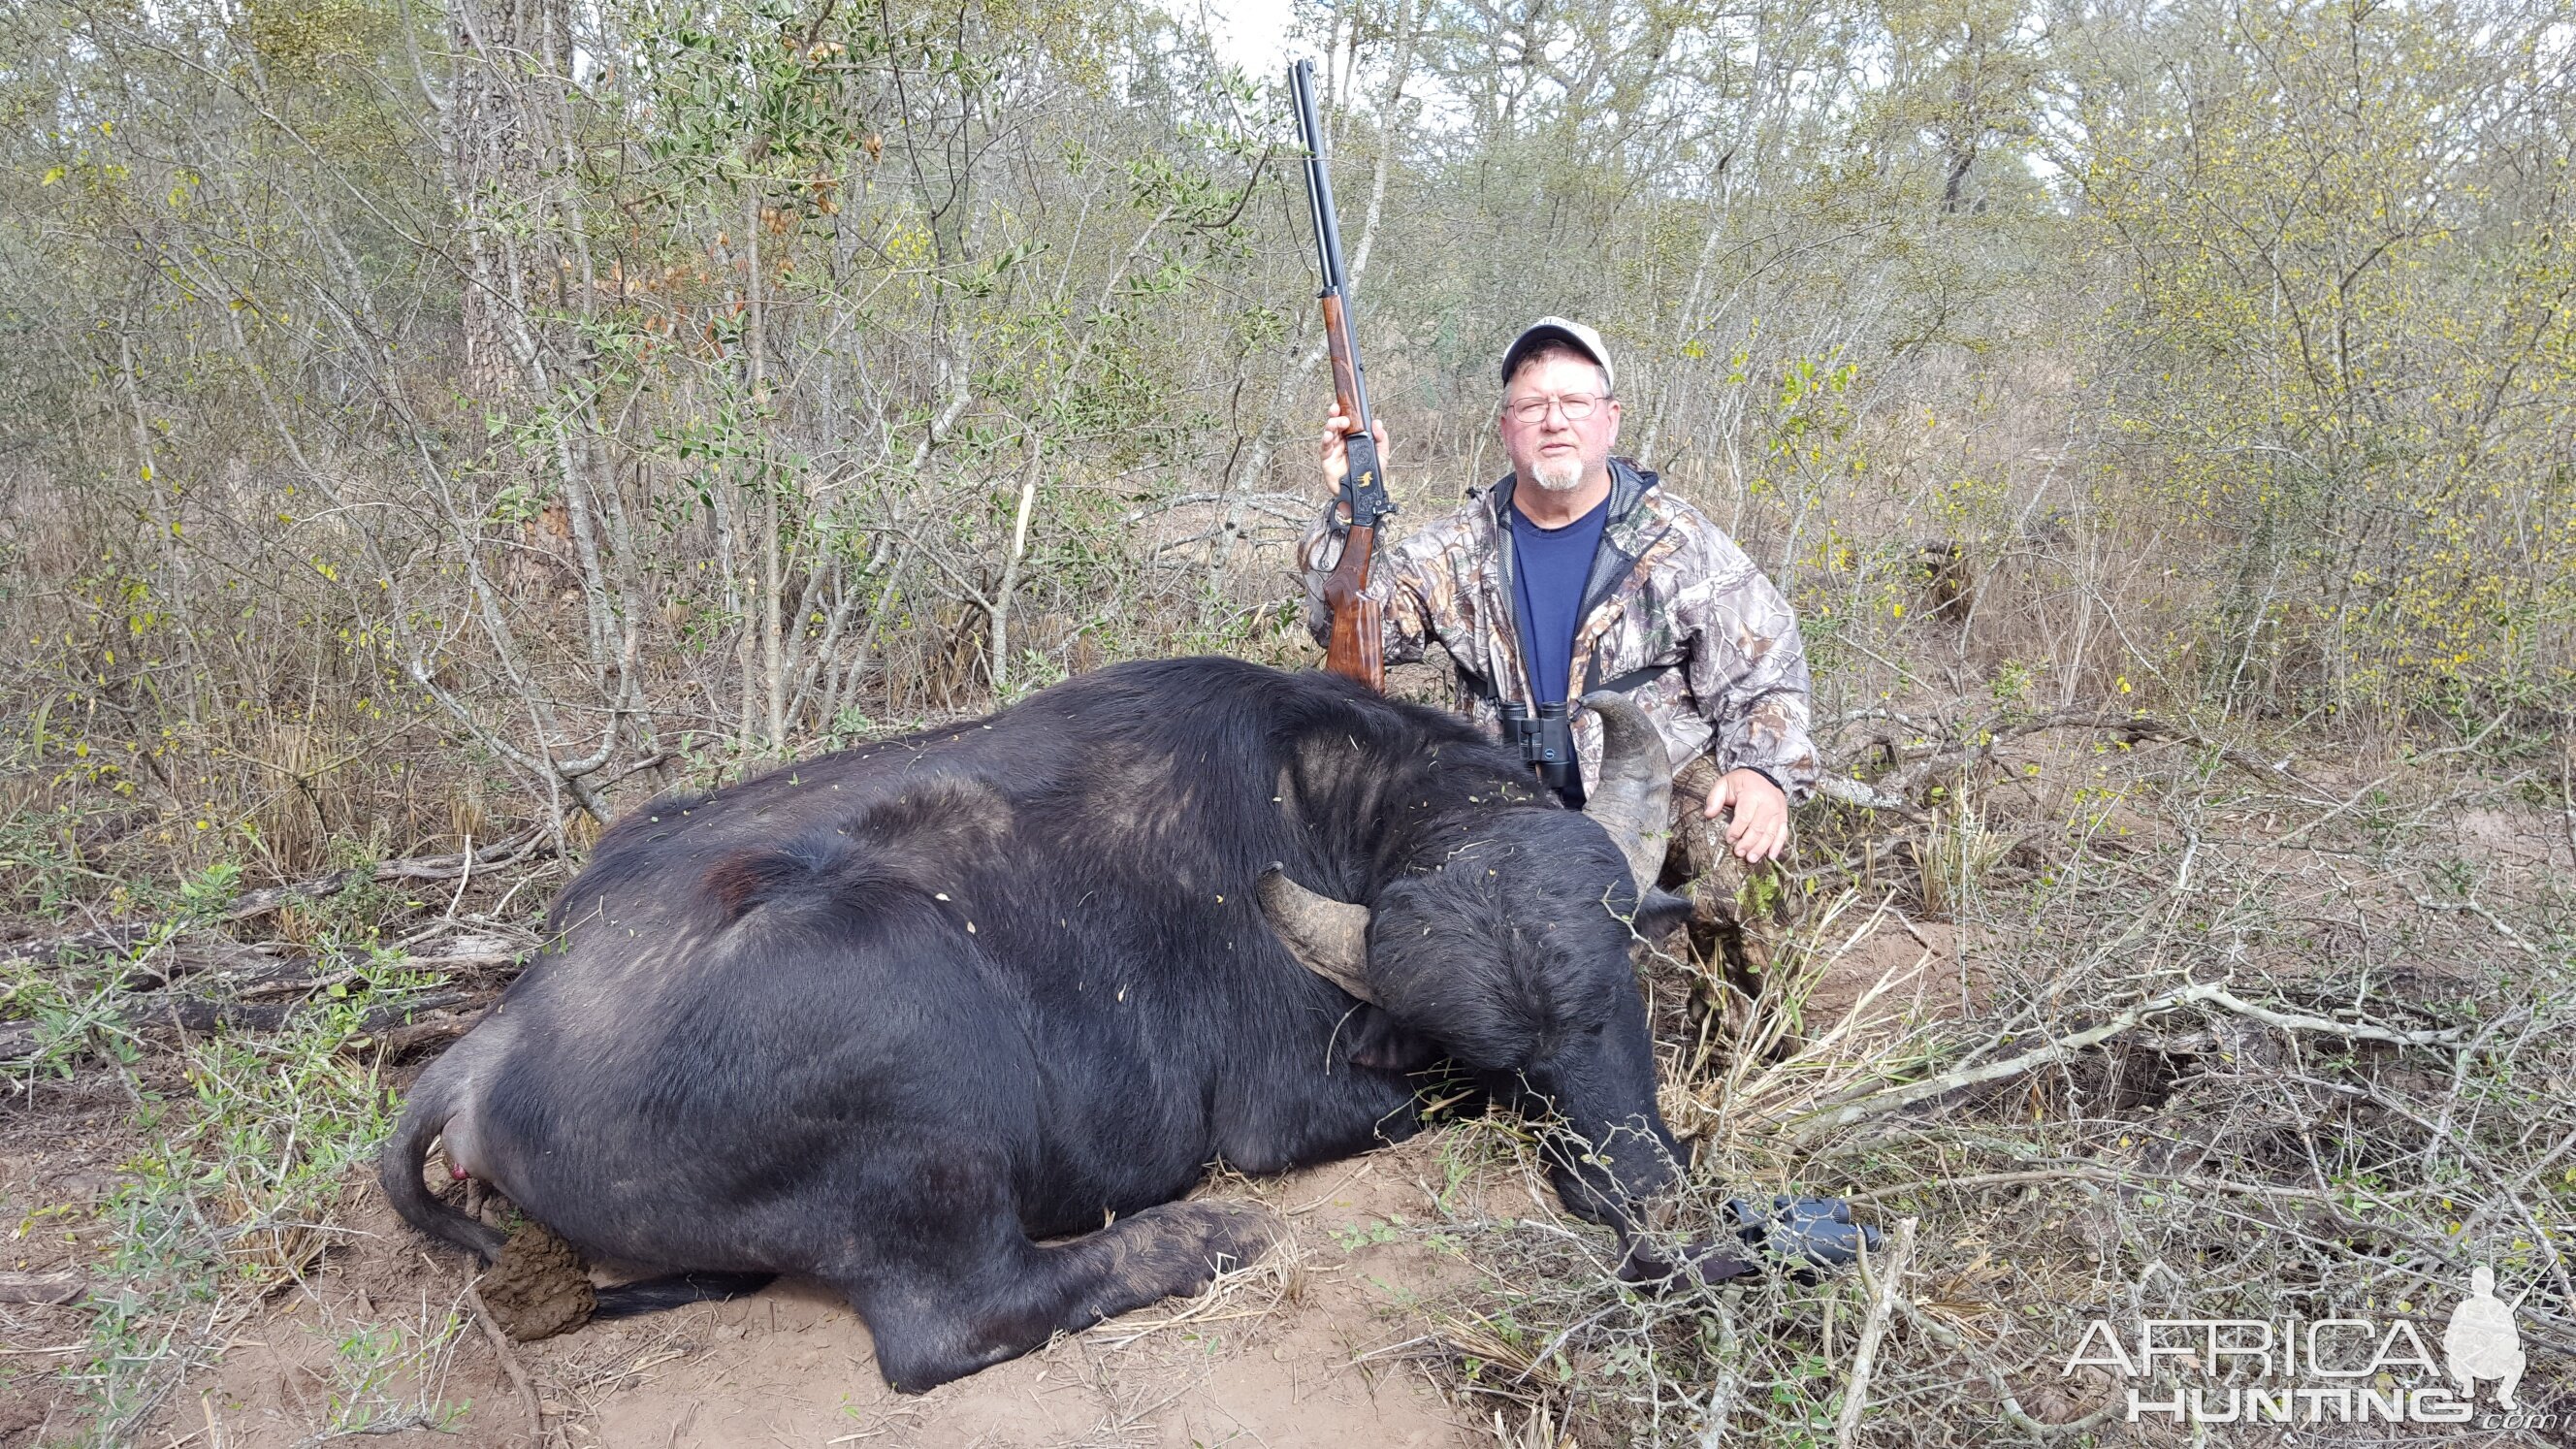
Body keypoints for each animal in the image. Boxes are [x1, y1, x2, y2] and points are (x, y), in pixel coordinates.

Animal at [375, 655, 1834, 1392]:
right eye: (1499, 1058)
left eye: (1618, 999)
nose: (1663, 1220)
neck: (1331, 806)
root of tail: (491, 1046)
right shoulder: (1289, 1110)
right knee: (951, 1323)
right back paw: (1199, 1238)